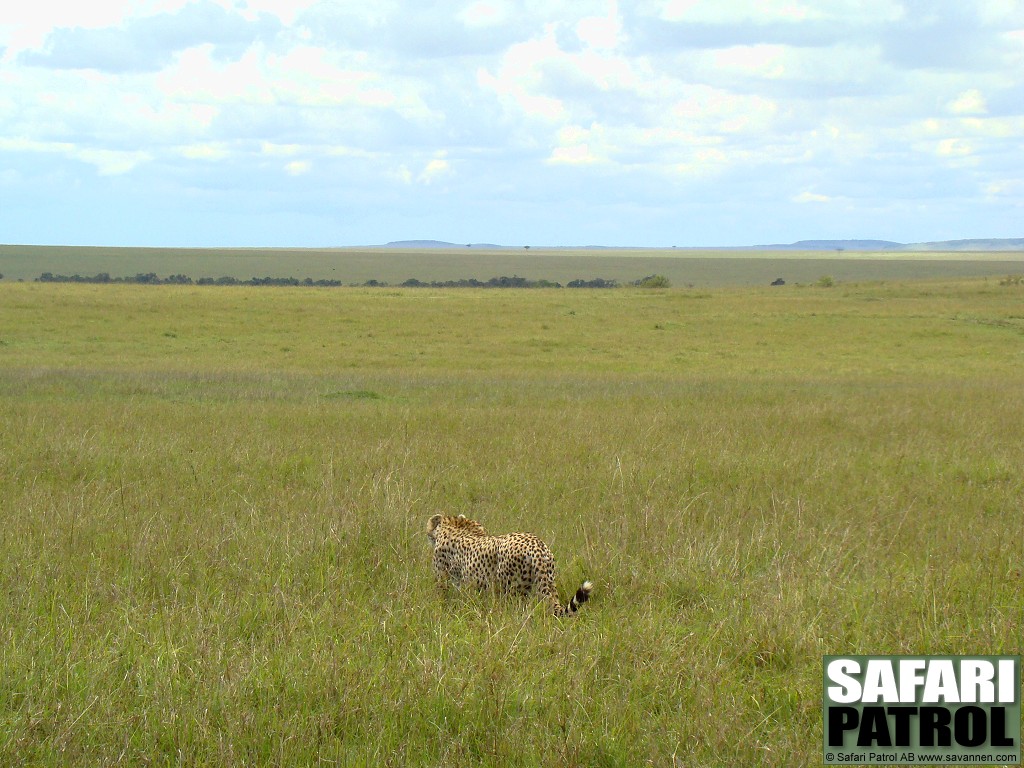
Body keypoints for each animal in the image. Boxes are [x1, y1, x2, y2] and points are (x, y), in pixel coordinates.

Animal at [425, 514, 593, 618]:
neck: (456, 527)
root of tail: (535, 545)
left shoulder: (445, 579)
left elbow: (442, 596)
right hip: (544, 583)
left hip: (511, 590)